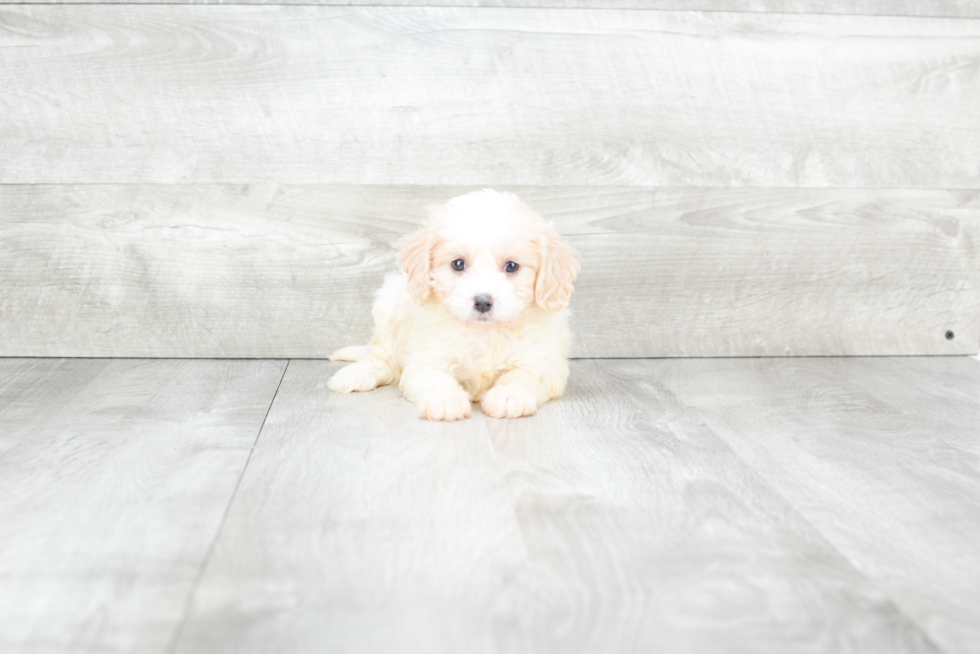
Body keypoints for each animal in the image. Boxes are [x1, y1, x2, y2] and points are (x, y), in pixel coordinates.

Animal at [326, 188, 580, 420]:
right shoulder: (427, 356)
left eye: (511, 266)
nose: (483, 302)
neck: (484, 333)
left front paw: (509, 395)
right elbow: (435, 377)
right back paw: (358, 374)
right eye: (458, 264)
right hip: (388, 305)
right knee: (382, 358)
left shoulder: (543, 361)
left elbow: (523, 376)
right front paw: (444, 399)